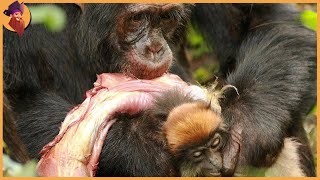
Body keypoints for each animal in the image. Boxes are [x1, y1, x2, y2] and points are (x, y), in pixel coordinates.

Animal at [2, 3, 316, 176]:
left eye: (165, 19)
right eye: (137, 19)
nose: (154, 47)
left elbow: (262, 18)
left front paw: (249, 122)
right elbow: (19, 101)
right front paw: (141, 148)